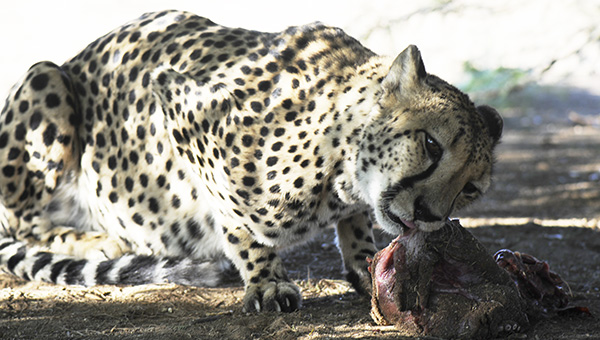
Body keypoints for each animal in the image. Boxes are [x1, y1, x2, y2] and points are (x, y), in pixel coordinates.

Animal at [0, 10, 502, 312]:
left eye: (470, 188)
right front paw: (267, 279)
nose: (429, 214)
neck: (343, 170)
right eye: (431, 145)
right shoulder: (174, 98)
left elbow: (357, 225)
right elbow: (238, 221)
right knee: (22, 220)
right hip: (46, 79)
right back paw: (93, 240)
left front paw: (364, 263)